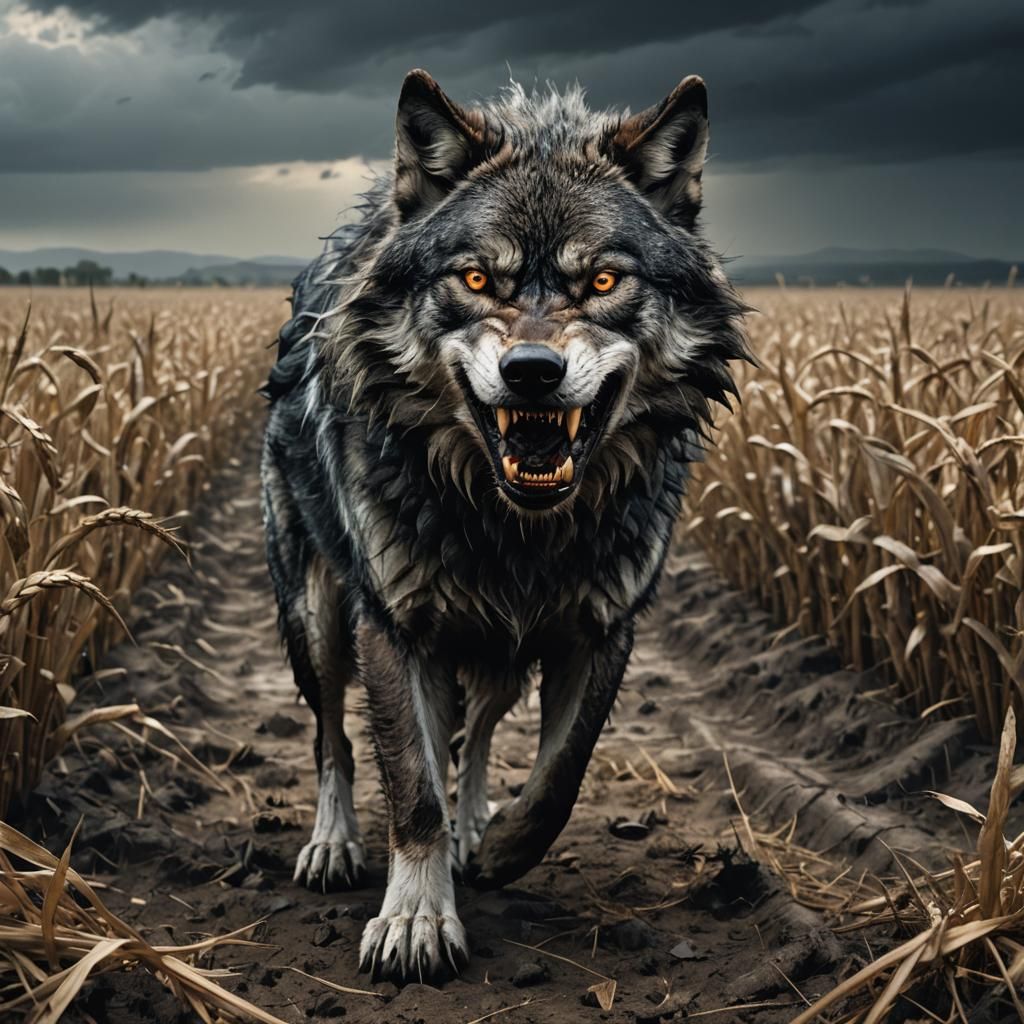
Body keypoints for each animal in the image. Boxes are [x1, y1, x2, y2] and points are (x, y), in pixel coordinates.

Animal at [260, 68, 749, 984]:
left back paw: (475, 826)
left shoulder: (603, 628)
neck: (513, 529)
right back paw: (333, 844)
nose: (532, 372)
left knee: (478, 736)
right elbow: (411, 785)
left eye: (604, 283)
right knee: (332, 737)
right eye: (478, 280)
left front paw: (496, 852)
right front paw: (415, 920)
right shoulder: (396, 626)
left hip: (495, 653)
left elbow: (560, 777)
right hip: (316, 620)